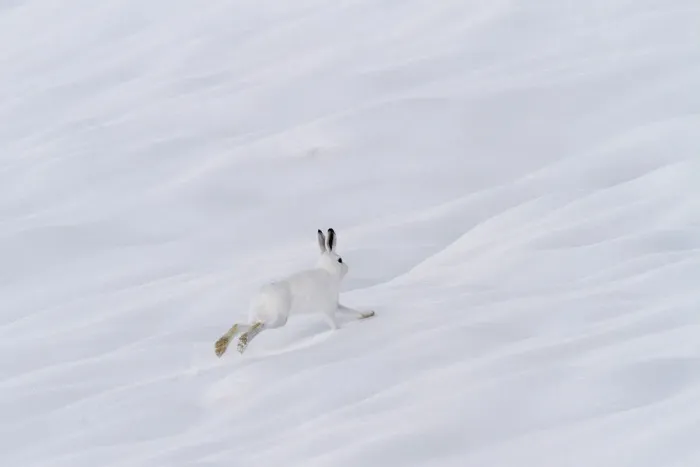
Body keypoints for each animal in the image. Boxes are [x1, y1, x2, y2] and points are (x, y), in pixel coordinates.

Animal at [214, 228, 375, 357]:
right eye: (340, 259)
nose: (347, 267)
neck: (329, 272)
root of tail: (261, 297)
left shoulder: (335, 305)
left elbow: (351, 310)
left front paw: (369, 313)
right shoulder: (328, 308)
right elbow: (334, 323)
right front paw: (339, 332)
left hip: (258, 317)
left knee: (240, 325)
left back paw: (222, 346)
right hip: (279, 318)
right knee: (259, 327)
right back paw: (242, 343)